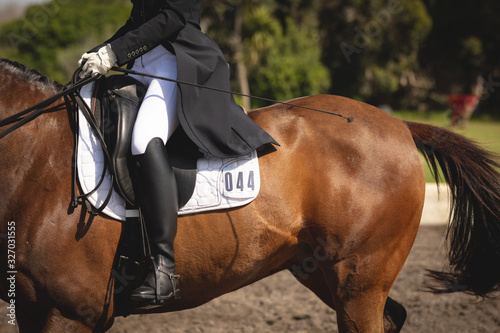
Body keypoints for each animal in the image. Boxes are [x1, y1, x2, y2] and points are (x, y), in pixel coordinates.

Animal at [2, 58, 500, 330]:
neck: (39, 155)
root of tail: (399, 124)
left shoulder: (68, 313)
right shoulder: (33, 310)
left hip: (360, 281)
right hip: (323, 272)